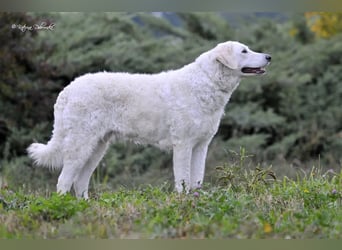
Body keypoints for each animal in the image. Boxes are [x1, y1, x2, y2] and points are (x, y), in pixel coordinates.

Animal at [27, 41, 270, 198]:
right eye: (244, 51)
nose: (269, 57)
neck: (206, 83)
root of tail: (68, 89)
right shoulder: (183, 144)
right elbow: (183, 179)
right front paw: (182, 202)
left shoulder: (201, 145)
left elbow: (197, 179)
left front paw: (196, 200)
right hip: (81, 145)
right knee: (64, 181)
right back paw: (64, 208)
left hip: (97, 147)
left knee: (79, 182)